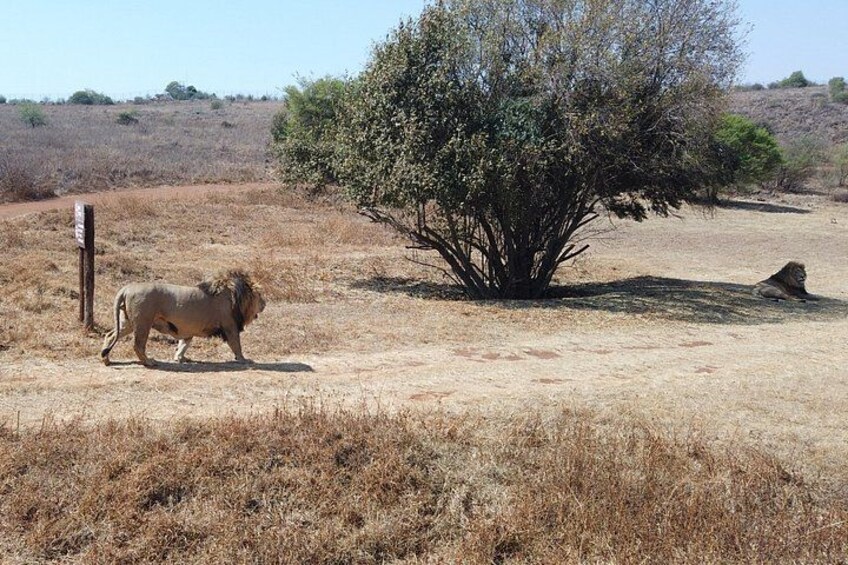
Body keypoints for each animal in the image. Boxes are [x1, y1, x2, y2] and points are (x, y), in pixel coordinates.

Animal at [100, 269, 266, 366]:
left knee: (110, 335)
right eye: (260, 296)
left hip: (128, 322)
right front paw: (244, 360)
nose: (265, 304)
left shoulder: (187, 330)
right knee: (137, 345)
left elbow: (183, 345)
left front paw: (180, 358)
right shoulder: (229, 326)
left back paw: (106, 360)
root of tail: (126, 288)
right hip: (143, 323)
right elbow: (237, 345)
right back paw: (149, 362)